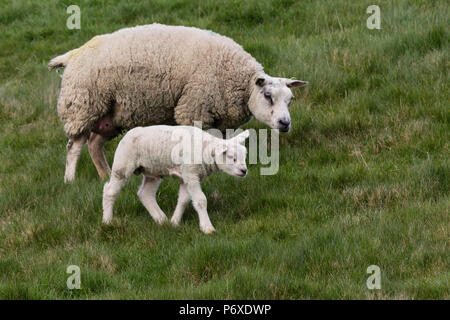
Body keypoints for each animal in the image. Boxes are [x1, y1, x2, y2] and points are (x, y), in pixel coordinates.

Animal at [50, 23, 310, 182]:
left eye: (291, 100)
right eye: (267, 96)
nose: (285, 123)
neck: (236, 78)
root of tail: (72, 54)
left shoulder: (221, 120)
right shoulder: (194, 108)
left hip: (111, 116)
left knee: (94, 143)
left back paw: (105, 175)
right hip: (83, 106)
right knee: (74, 146)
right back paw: (70, 180)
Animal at [102, 124, 250, 232]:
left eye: (244, 156)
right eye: (231, 157)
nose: (244, 171)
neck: (205, 150)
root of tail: (126, 134)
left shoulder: (187, 175)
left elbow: (184, 200)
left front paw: (175, 222)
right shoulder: (191, 173)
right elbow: (201, 200)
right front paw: (207, 227)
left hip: (152, 171)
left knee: (145, 194)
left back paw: (161, 220)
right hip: (122, 164)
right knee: (110, 191)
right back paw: (107, 221)